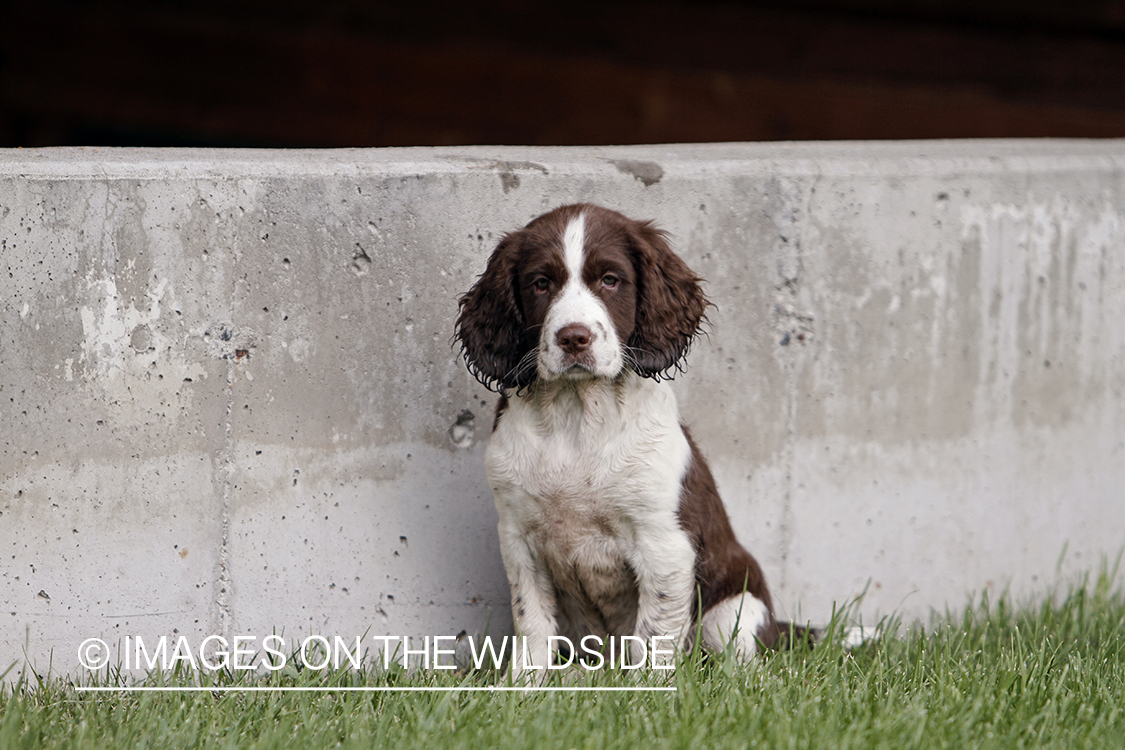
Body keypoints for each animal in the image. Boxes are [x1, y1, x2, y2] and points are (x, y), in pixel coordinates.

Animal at [452, 202, 787, 679]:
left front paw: (645, 687)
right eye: (541, 283)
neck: (578, 415)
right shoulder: (518, 537)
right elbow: (531, 619)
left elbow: (654, 633)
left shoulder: (665, 545)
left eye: (610, 280)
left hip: (734, 607)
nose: (574, 338)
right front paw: (524, 683)